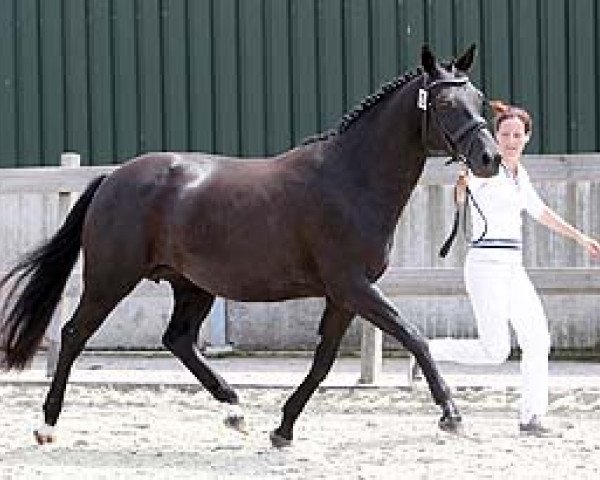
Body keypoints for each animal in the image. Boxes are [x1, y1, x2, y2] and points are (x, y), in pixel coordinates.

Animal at [0, 43, 496, 448]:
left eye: (478, 99)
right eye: (446, 102)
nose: (489, 158)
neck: (350, 178)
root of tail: (112, 178)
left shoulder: (343, 296)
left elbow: (323, 361)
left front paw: (283, 429)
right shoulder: (353, 286)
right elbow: (414, 337)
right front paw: (452, 416)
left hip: (192, 286)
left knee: (178, 340)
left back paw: (235, 410)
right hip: (110, 278)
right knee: (73, 334)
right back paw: (46, 426)